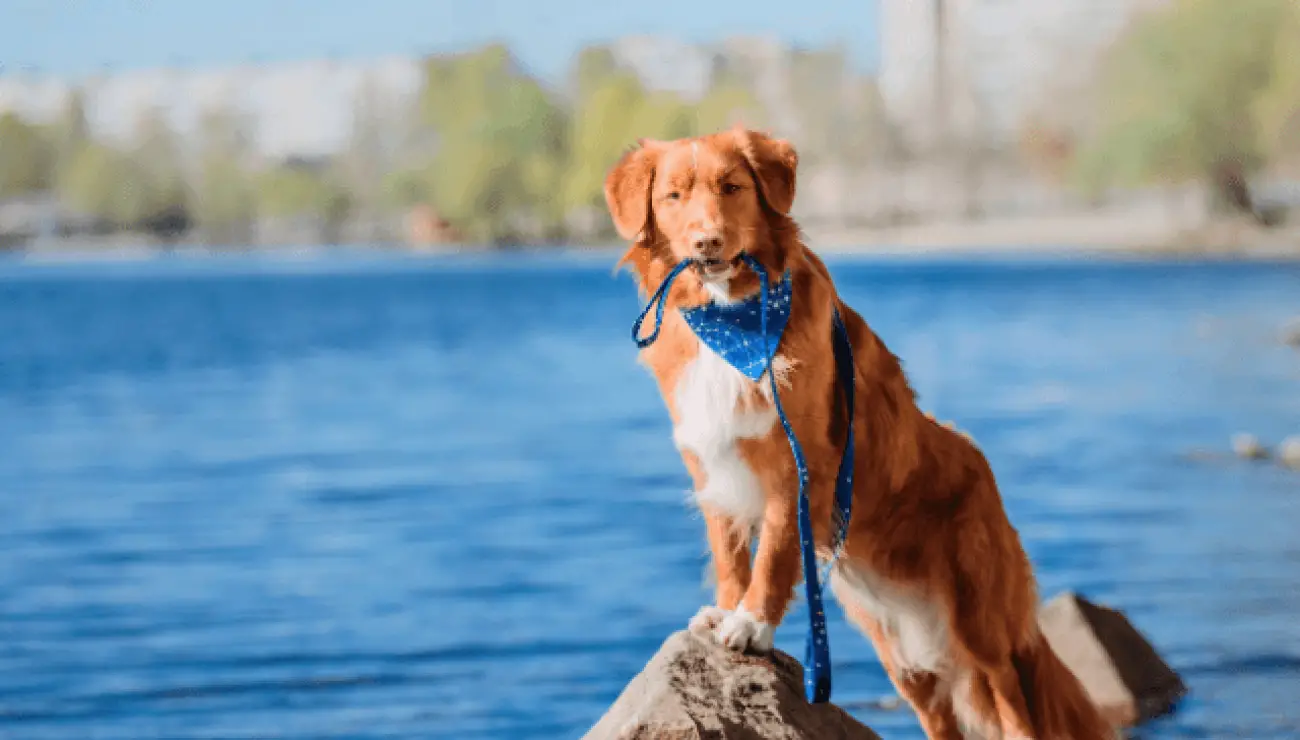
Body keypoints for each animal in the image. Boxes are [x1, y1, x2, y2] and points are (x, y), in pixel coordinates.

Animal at [603, 126, 1112, 738]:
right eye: (673, 196)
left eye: (732, 188)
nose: (706, 243)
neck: (734, 319)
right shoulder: (712, 462)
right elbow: (730, 552)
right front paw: (727, 608)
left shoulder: (798, 464)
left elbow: (774, 551)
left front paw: (751, 624)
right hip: (899, 650)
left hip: (978, 622)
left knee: (1011, 696)